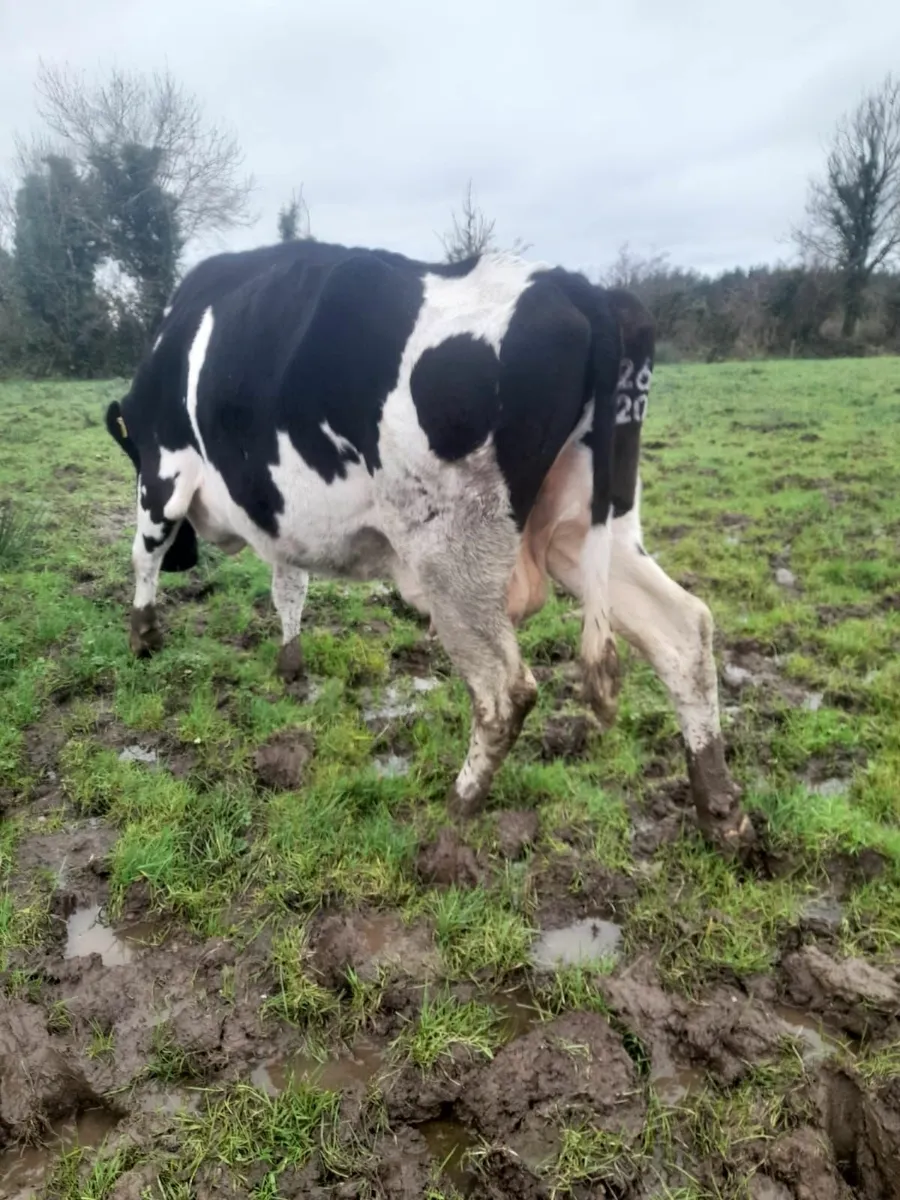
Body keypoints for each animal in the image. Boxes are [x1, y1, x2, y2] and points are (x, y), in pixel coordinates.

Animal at [105, 237, 752, 851]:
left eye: (132, 451)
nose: (191, 558)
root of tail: (575, 286)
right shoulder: (283, 517)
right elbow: (290, 584)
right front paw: (290, 663)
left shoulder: (163, 472)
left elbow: (144, 553)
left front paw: (143, 636)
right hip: (588, 530)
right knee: (683, 630)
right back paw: (721, 812)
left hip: (455, 558)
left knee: (505, 689)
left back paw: (460, 801)